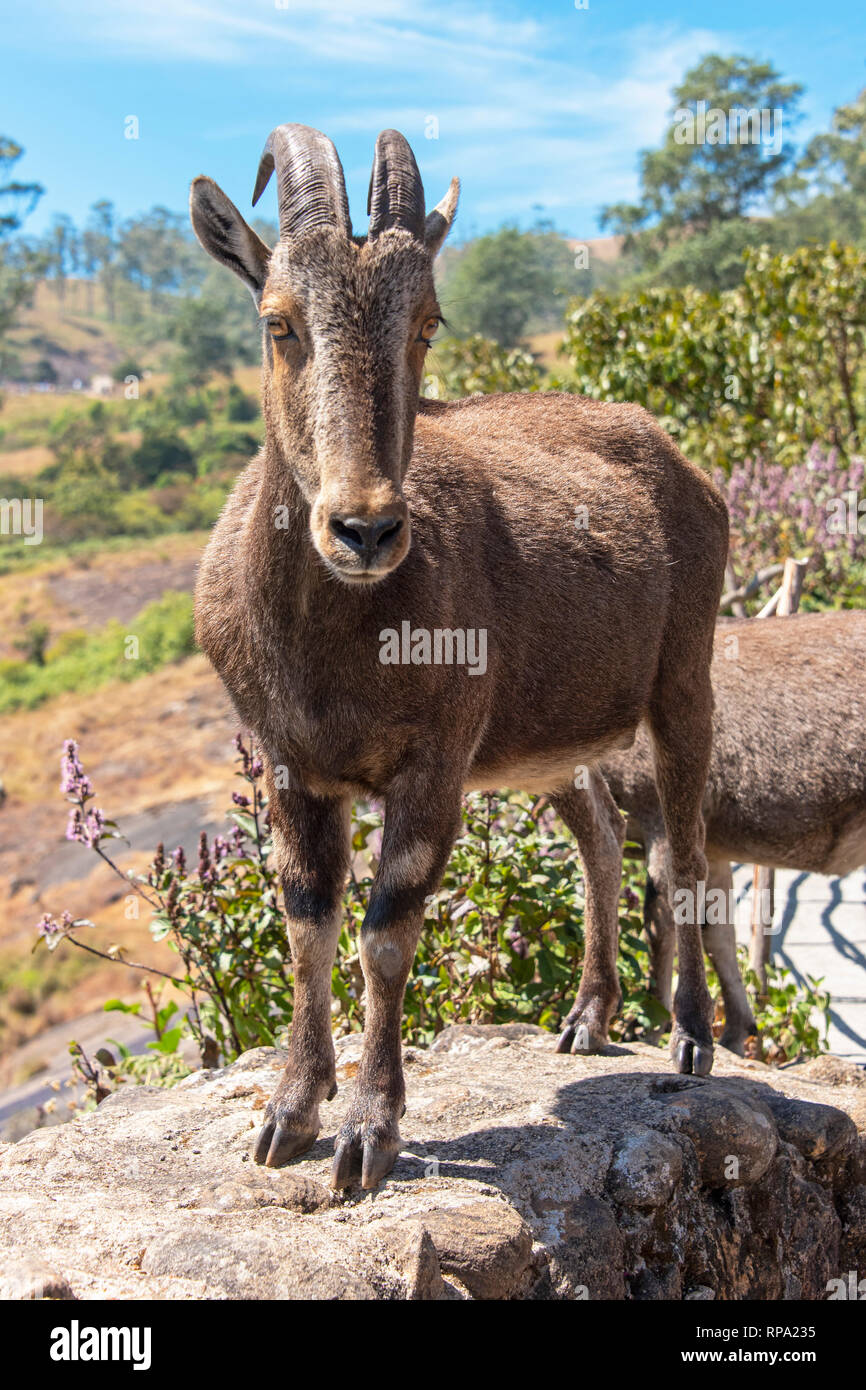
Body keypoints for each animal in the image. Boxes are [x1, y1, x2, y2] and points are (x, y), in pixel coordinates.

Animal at [191, 122, 733, 1184]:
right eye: (279, 322)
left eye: (427, 323)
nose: (364, 527)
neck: (330, 644)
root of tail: (686, 466)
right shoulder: (289, 762)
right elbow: (308, 921)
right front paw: (288, 1113)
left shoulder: (434, 761)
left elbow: (385, 933)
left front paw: (369, 1130)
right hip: (553, 737)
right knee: (602, 833)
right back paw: (587, 1016)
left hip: (682, 677)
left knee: (682, 850)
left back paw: (691, 1035)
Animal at [600, 611, 866, 1050]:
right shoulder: (714, 844)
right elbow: (718, 934)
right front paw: (737, 1029)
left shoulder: (657, 815)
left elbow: (662, 921)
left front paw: (654, 1025)